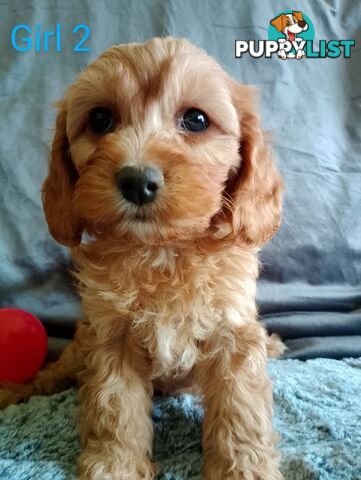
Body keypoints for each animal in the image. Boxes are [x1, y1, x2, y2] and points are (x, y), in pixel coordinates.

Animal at [0, 35, 284, 478]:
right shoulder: (110, 336)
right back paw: (18, 388)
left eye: (196, 120)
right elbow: (115, 406)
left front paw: (243, 468)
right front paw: (114, 464)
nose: (137, 181)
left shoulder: (233, 331)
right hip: (80, 343)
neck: (161, 251)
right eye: (100, 119)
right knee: (57, 371)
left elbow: (241, 406)